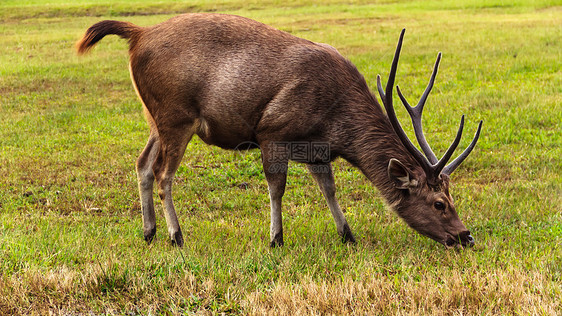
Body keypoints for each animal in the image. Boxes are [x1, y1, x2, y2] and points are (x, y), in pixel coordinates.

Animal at [76, 12, 482, 248]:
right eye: (439, 203)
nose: (465, 236)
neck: (335, 122)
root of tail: (137, 34)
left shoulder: (318, 149)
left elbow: (329, 189)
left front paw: (347, 234)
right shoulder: (273, 130)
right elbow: (277, 188)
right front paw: (276, 238)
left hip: (154, 117)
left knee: (142, 164)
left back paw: (149, 233)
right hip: (176, 115)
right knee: (163, 173)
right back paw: (176, 236)